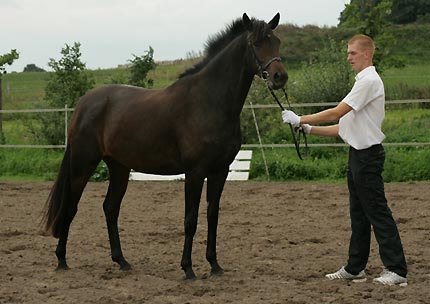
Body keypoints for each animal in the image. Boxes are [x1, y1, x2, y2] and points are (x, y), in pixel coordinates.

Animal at [42, 13, 288, 280]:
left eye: (276, 41)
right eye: (255, 43)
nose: (280, 77)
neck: (209, 102)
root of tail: (83, 104)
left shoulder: (220, 171)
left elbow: (212, 215)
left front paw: (214, 265)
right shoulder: (195, 172)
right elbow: (190, 220)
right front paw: (188, 268)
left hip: (119, 167)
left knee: (110, 208)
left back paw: (122, 261)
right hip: (83, 164)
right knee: (71, 206)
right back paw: (62, 259)